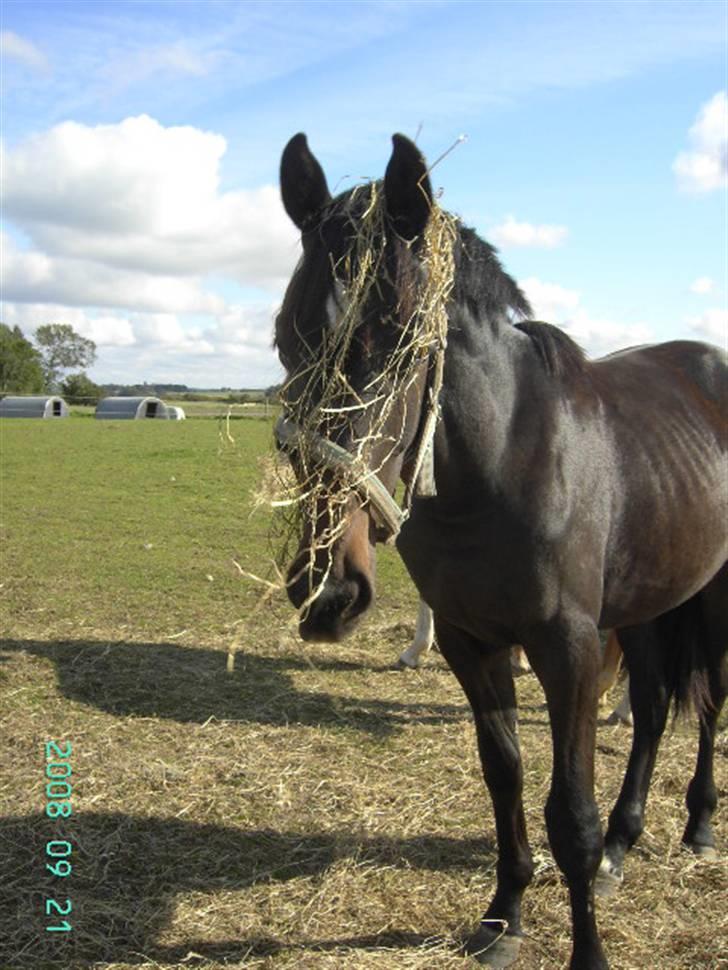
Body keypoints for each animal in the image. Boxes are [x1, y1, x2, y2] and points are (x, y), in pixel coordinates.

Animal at [272, 130, 728, 968]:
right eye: (287, 341)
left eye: (399, 343)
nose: (328, 588)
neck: (504, 463)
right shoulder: (470, 639)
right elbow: (504, 773)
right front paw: (504, 915)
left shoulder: (570, 648)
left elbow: (569, 813)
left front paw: (588, 951)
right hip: (649, 602)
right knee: (652, 711)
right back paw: (625, 846)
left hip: (711, 599)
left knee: (708, 701)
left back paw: (701, 825)